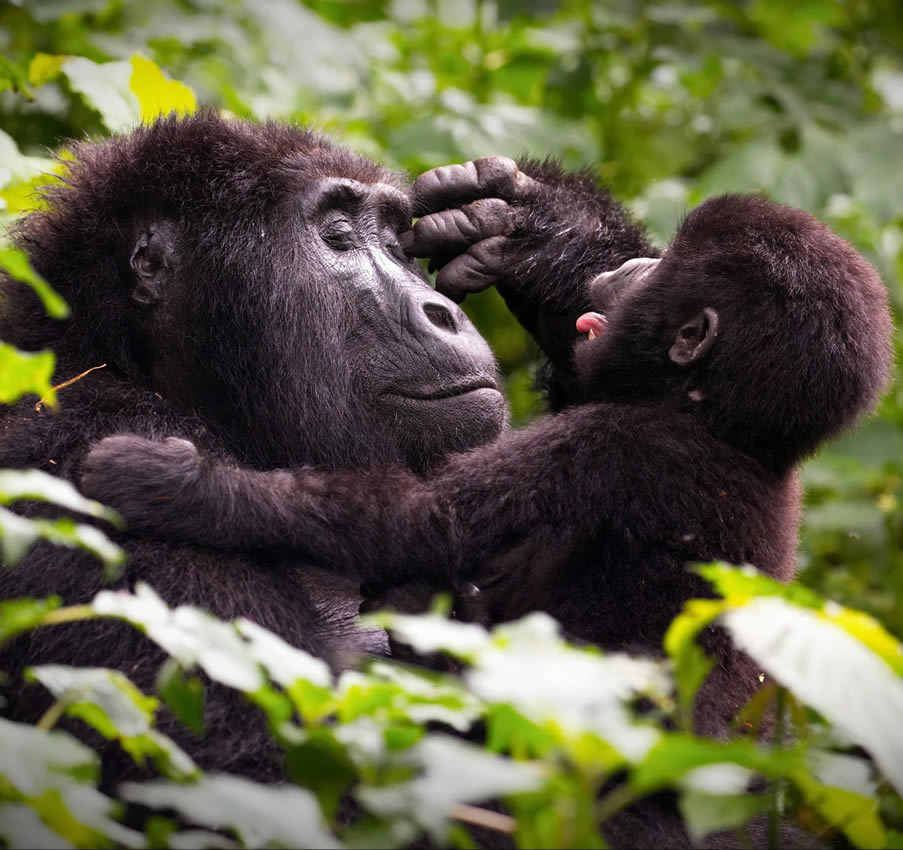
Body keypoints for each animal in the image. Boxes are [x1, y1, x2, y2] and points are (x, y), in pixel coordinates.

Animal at [81, 194, 892, 736]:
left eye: (657, 270)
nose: (629, 264)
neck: (717, 421)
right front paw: (541, 224)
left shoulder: (608, 446)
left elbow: (417, 522)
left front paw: (171, 485)